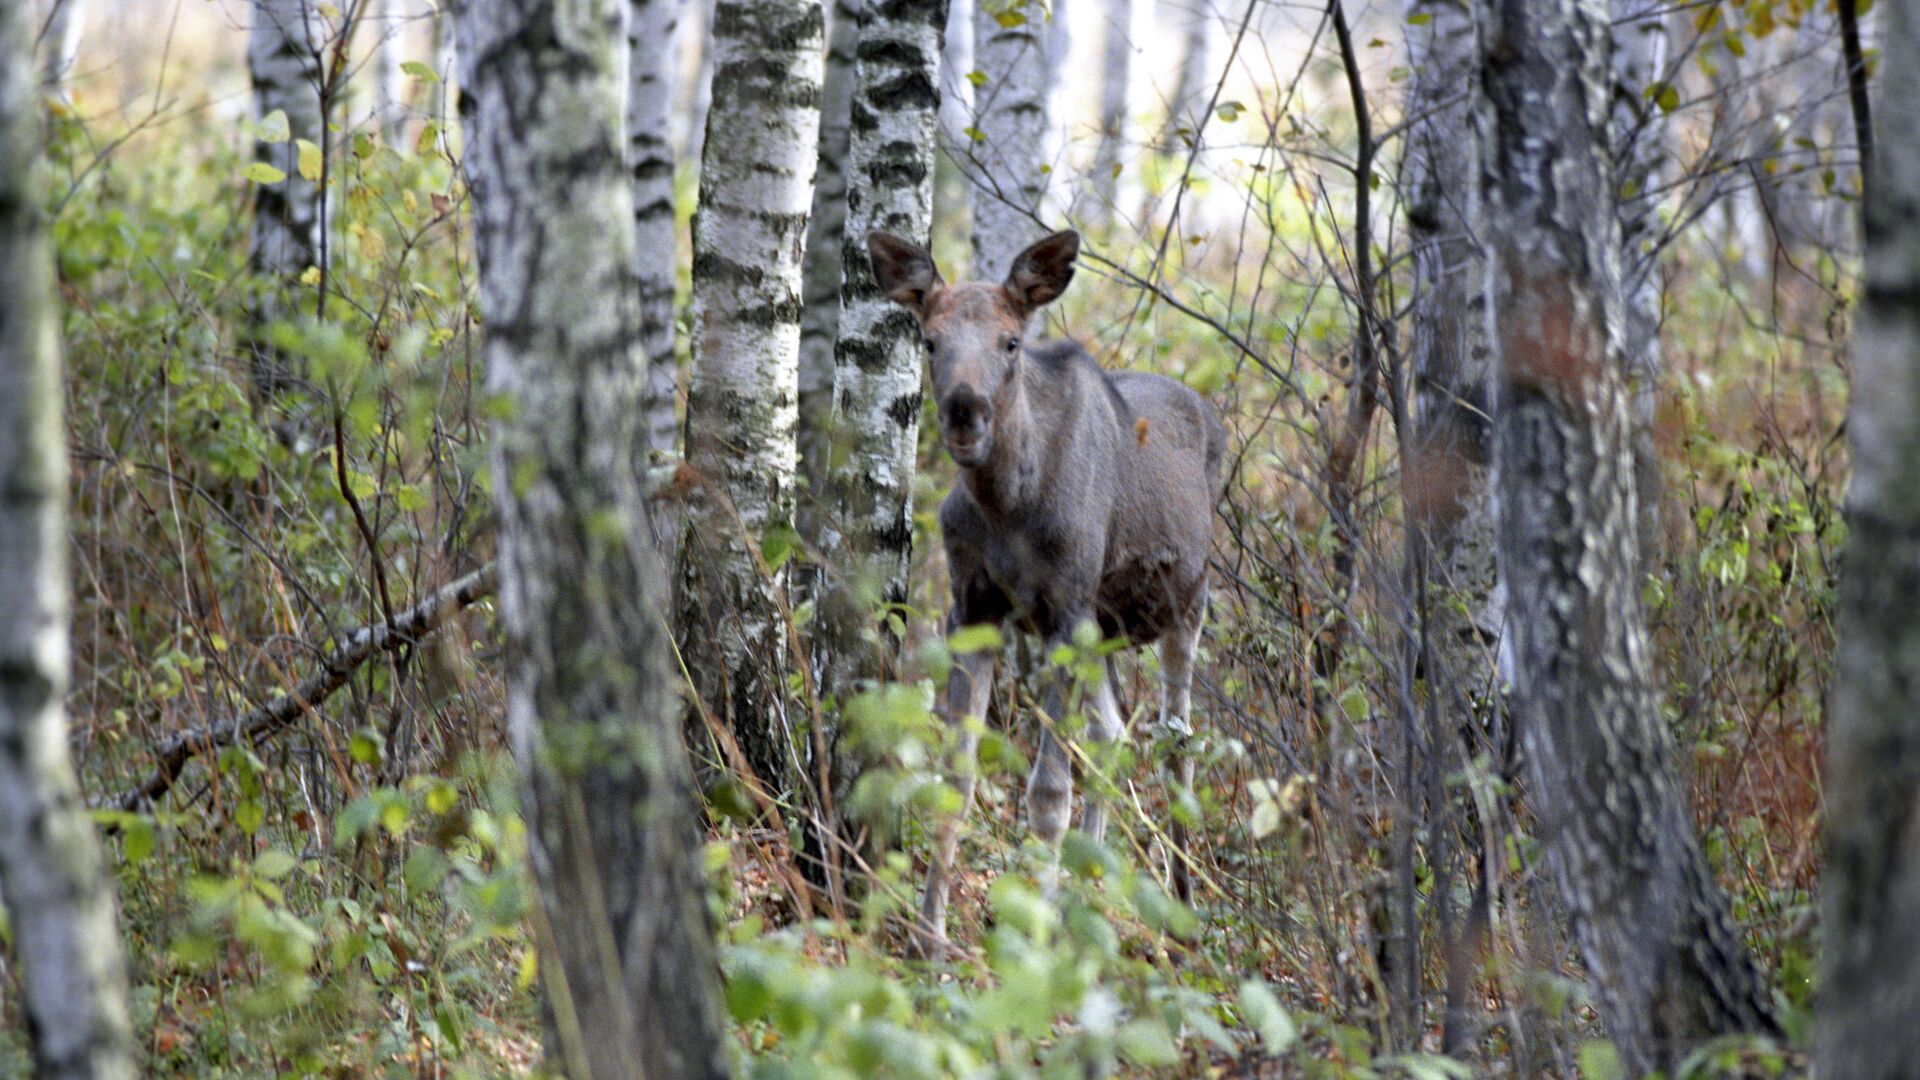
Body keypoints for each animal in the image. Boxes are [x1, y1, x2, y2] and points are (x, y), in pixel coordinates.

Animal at [864, 228, 1221, 949]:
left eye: (1010, 341)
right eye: (930, 340)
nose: (965, 412)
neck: (1009, 507)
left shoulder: (1064, 612)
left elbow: (1049, 793)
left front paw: (1029, 944)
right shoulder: (973, 607)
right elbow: (957, 775)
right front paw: (930, 937)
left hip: (1186, 604)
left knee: (1176, 738)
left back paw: (1180, 905)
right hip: (1105, 630)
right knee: (1115, 732)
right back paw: (1085, 895)